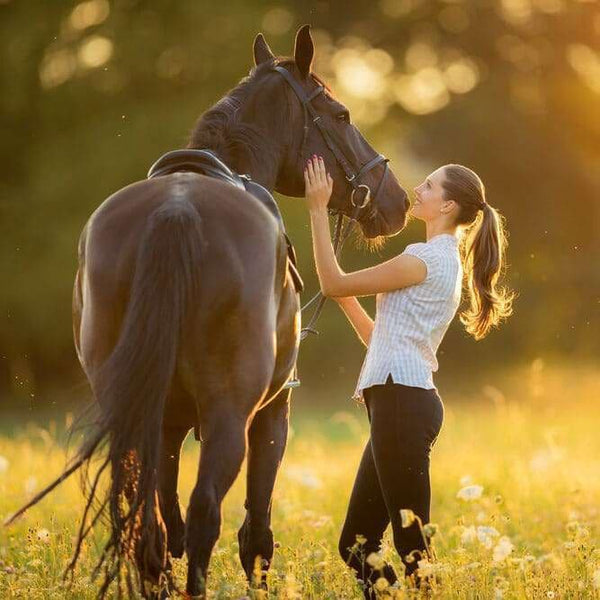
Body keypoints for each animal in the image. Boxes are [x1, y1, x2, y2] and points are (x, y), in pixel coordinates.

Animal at [9, 25, 410, 596]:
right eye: (340, 115)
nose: (396, 201)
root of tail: (175, 211)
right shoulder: (273, 412)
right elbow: (255, 535)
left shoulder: (168, 426)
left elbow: (165, 519)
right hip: (228, 418)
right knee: (204, 519)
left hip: (135, 414)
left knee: (149, 529)